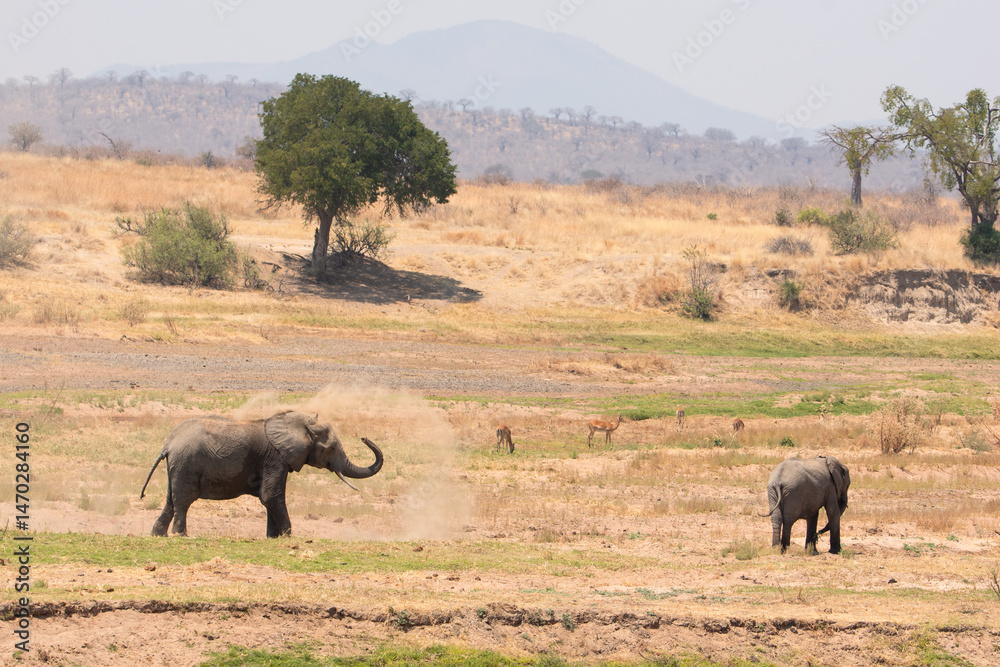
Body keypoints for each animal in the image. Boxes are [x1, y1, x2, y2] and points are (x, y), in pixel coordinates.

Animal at [140, 410, 383, 538]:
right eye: (331, 448)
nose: (363, 438)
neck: (297, 422)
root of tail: (168, 444)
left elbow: (269, 499)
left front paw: (272, 537)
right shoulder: (275, 458)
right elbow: (271, 496)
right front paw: (287, 536)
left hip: (178, 466)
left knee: (170, 501)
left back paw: (158, 535)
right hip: (186, 464)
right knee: (183, 501)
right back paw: (181, 536)